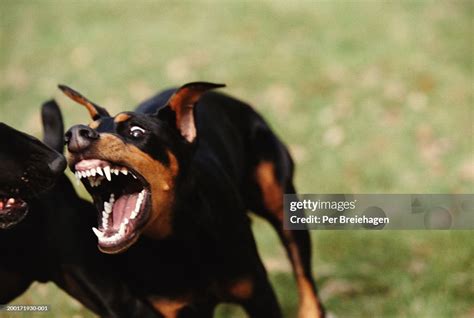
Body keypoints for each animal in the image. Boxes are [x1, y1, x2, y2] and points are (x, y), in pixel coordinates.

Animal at [61, 83, 324, 316]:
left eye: (137, 131)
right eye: (87, 127)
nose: (74, 134)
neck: (179, 241)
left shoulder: (257, 292)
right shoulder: (173, 308)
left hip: (280, 201)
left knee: (303, 271)